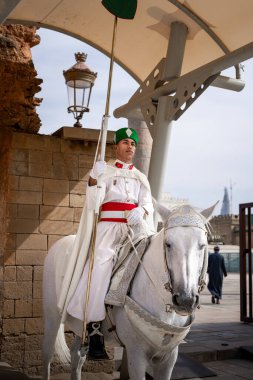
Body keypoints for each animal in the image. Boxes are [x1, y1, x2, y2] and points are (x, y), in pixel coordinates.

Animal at [42, 203, 215, 380]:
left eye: (203, 245)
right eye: (168, 244)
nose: (185, 300)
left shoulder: (169, 356)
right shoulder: (136, 354)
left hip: (80, 328)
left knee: (77, 357)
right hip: (52, 317)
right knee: (47, 355)